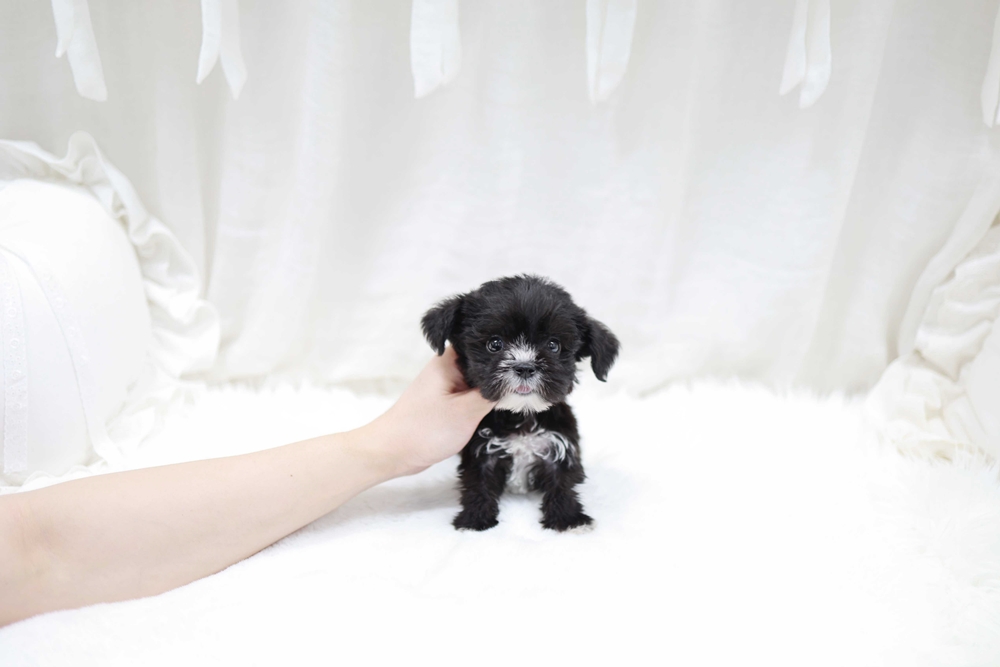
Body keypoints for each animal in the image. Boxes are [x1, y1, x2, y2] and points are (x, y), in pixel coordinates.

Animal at [421, 275, 619, 531]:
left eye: (553, 345)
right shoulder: (481, 451)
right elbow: (478, 483)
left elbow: (562, 483)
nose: (525, 366)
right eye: (494, 344)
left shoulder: (559, 445)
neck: (522, 414)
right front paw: (474, 519)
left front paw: (568, 520)